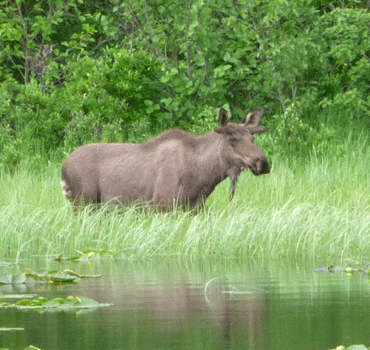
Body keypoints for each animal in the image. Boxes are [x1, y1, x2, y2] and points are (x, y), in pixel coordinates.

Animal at [60, 108, 268, 211]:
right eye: (232, 140)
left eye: (252, 138)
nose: (263, 162)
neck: (203, 178)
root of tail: (63, 169)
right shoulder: (162, 205)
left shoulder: (194, 208)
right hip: (83, 202)